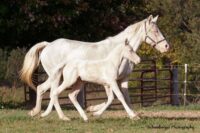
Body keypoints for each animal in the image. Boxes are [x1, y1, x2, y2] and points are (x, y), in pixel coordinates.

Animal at [20, 14, 170, 116]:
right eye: (155, 31)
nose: (166, 46)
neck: (119, 53)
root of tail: (48, 45)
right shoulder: (109, 81)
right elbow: (114, 97)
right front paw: (93, 110)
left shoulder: (123, 79)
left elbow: (125, 97)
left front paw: (133, 114)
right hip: (56, 77)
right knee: (50, 91)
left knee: (42, 89)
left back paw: (38, 112)